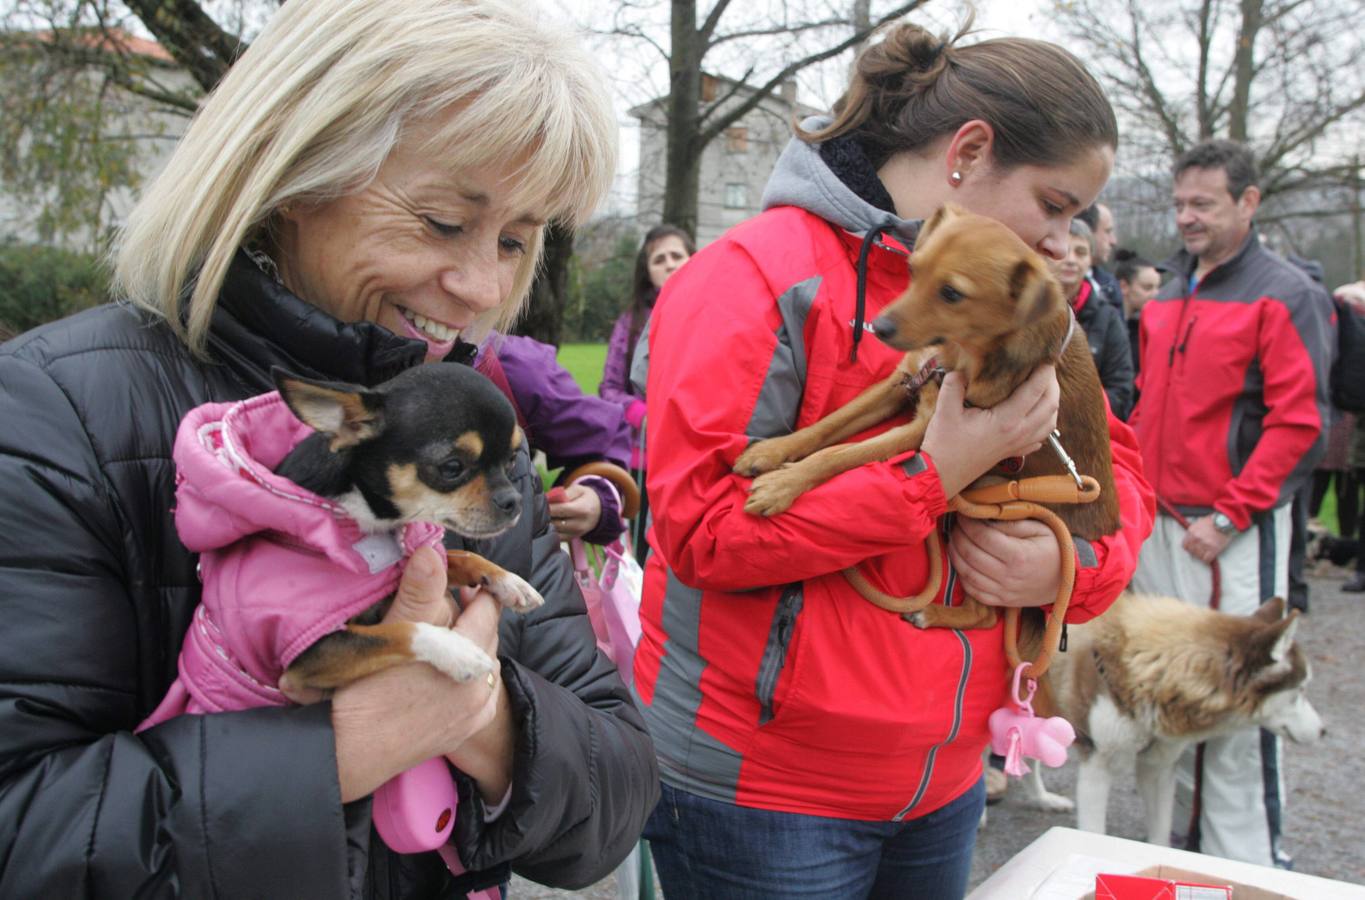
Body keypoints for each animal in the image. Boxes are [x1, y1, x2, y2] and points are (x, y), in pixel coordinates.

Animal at [737, 203, 1119, 625]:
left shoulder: (927, 428)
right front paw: (770, 452)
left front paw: (783, 485)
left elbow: (843, 455)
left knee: (987, 613)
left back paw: (931, 613)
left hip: (995, 496)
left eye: (952, 293)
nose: (879, 327)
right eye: (912, 269)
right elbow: (826, 428)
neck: (960, 354)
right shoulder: (902, 381)